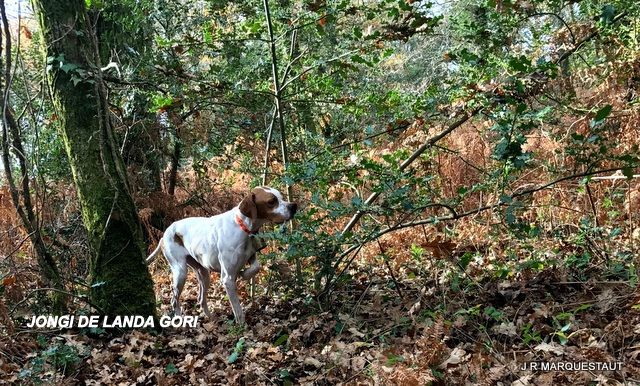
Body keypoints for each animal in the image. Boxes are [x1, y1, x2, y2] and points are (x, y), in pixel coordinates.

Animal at [146, 186, 298, 322]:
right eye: (271, 201)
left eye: (281, 197)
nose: (293, 206)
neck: (242, 227)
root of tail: (165, 234)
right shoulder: (227, 278)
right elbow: (238, 310)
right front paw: (242, 327)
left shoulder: (250, 256)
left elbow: (256, 267)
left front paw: (244, 274)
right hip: (180, 272)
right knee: (174, 300)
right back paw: (180, 318)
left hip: (203, 273)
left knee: (201, 299)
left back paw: (211, 318)